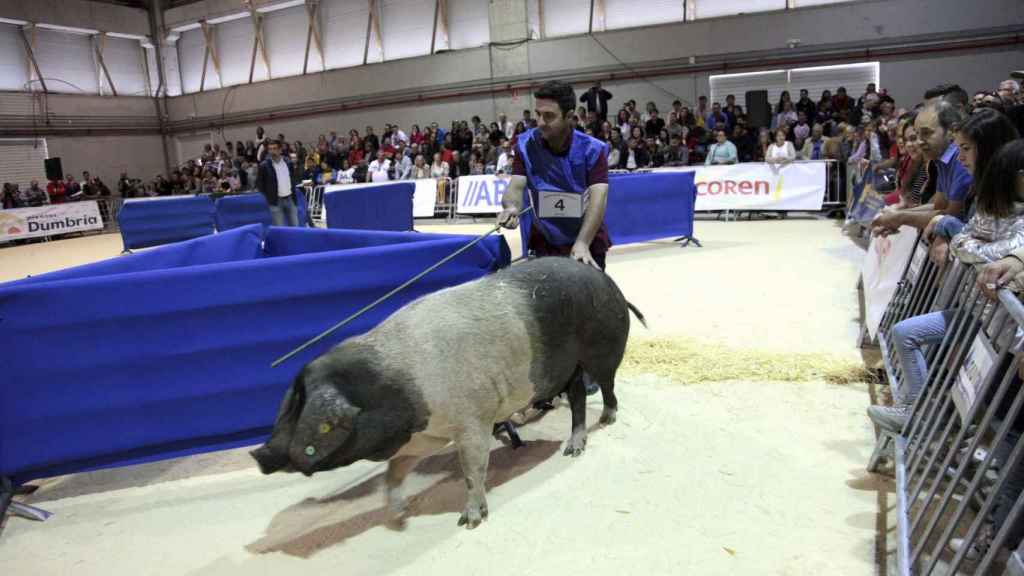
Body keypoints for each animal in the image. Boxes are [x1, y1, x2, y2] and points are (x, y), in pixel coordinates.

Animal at [251, 257, 644, 529]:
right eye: (290, 404)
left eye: (300, 407)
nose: (259, 454)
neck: (397, 390)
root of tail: (611, 285)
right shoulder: (427, 435)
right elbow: (396, 469)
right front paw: (398, 515)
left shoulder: (472, 420)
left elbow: (473, 469)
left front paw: (469, 521)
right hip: (567, 372)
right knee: (577, 398)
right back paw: (573, 446)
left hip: (602, 351)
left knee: (606, 387)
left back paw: (602, 423)